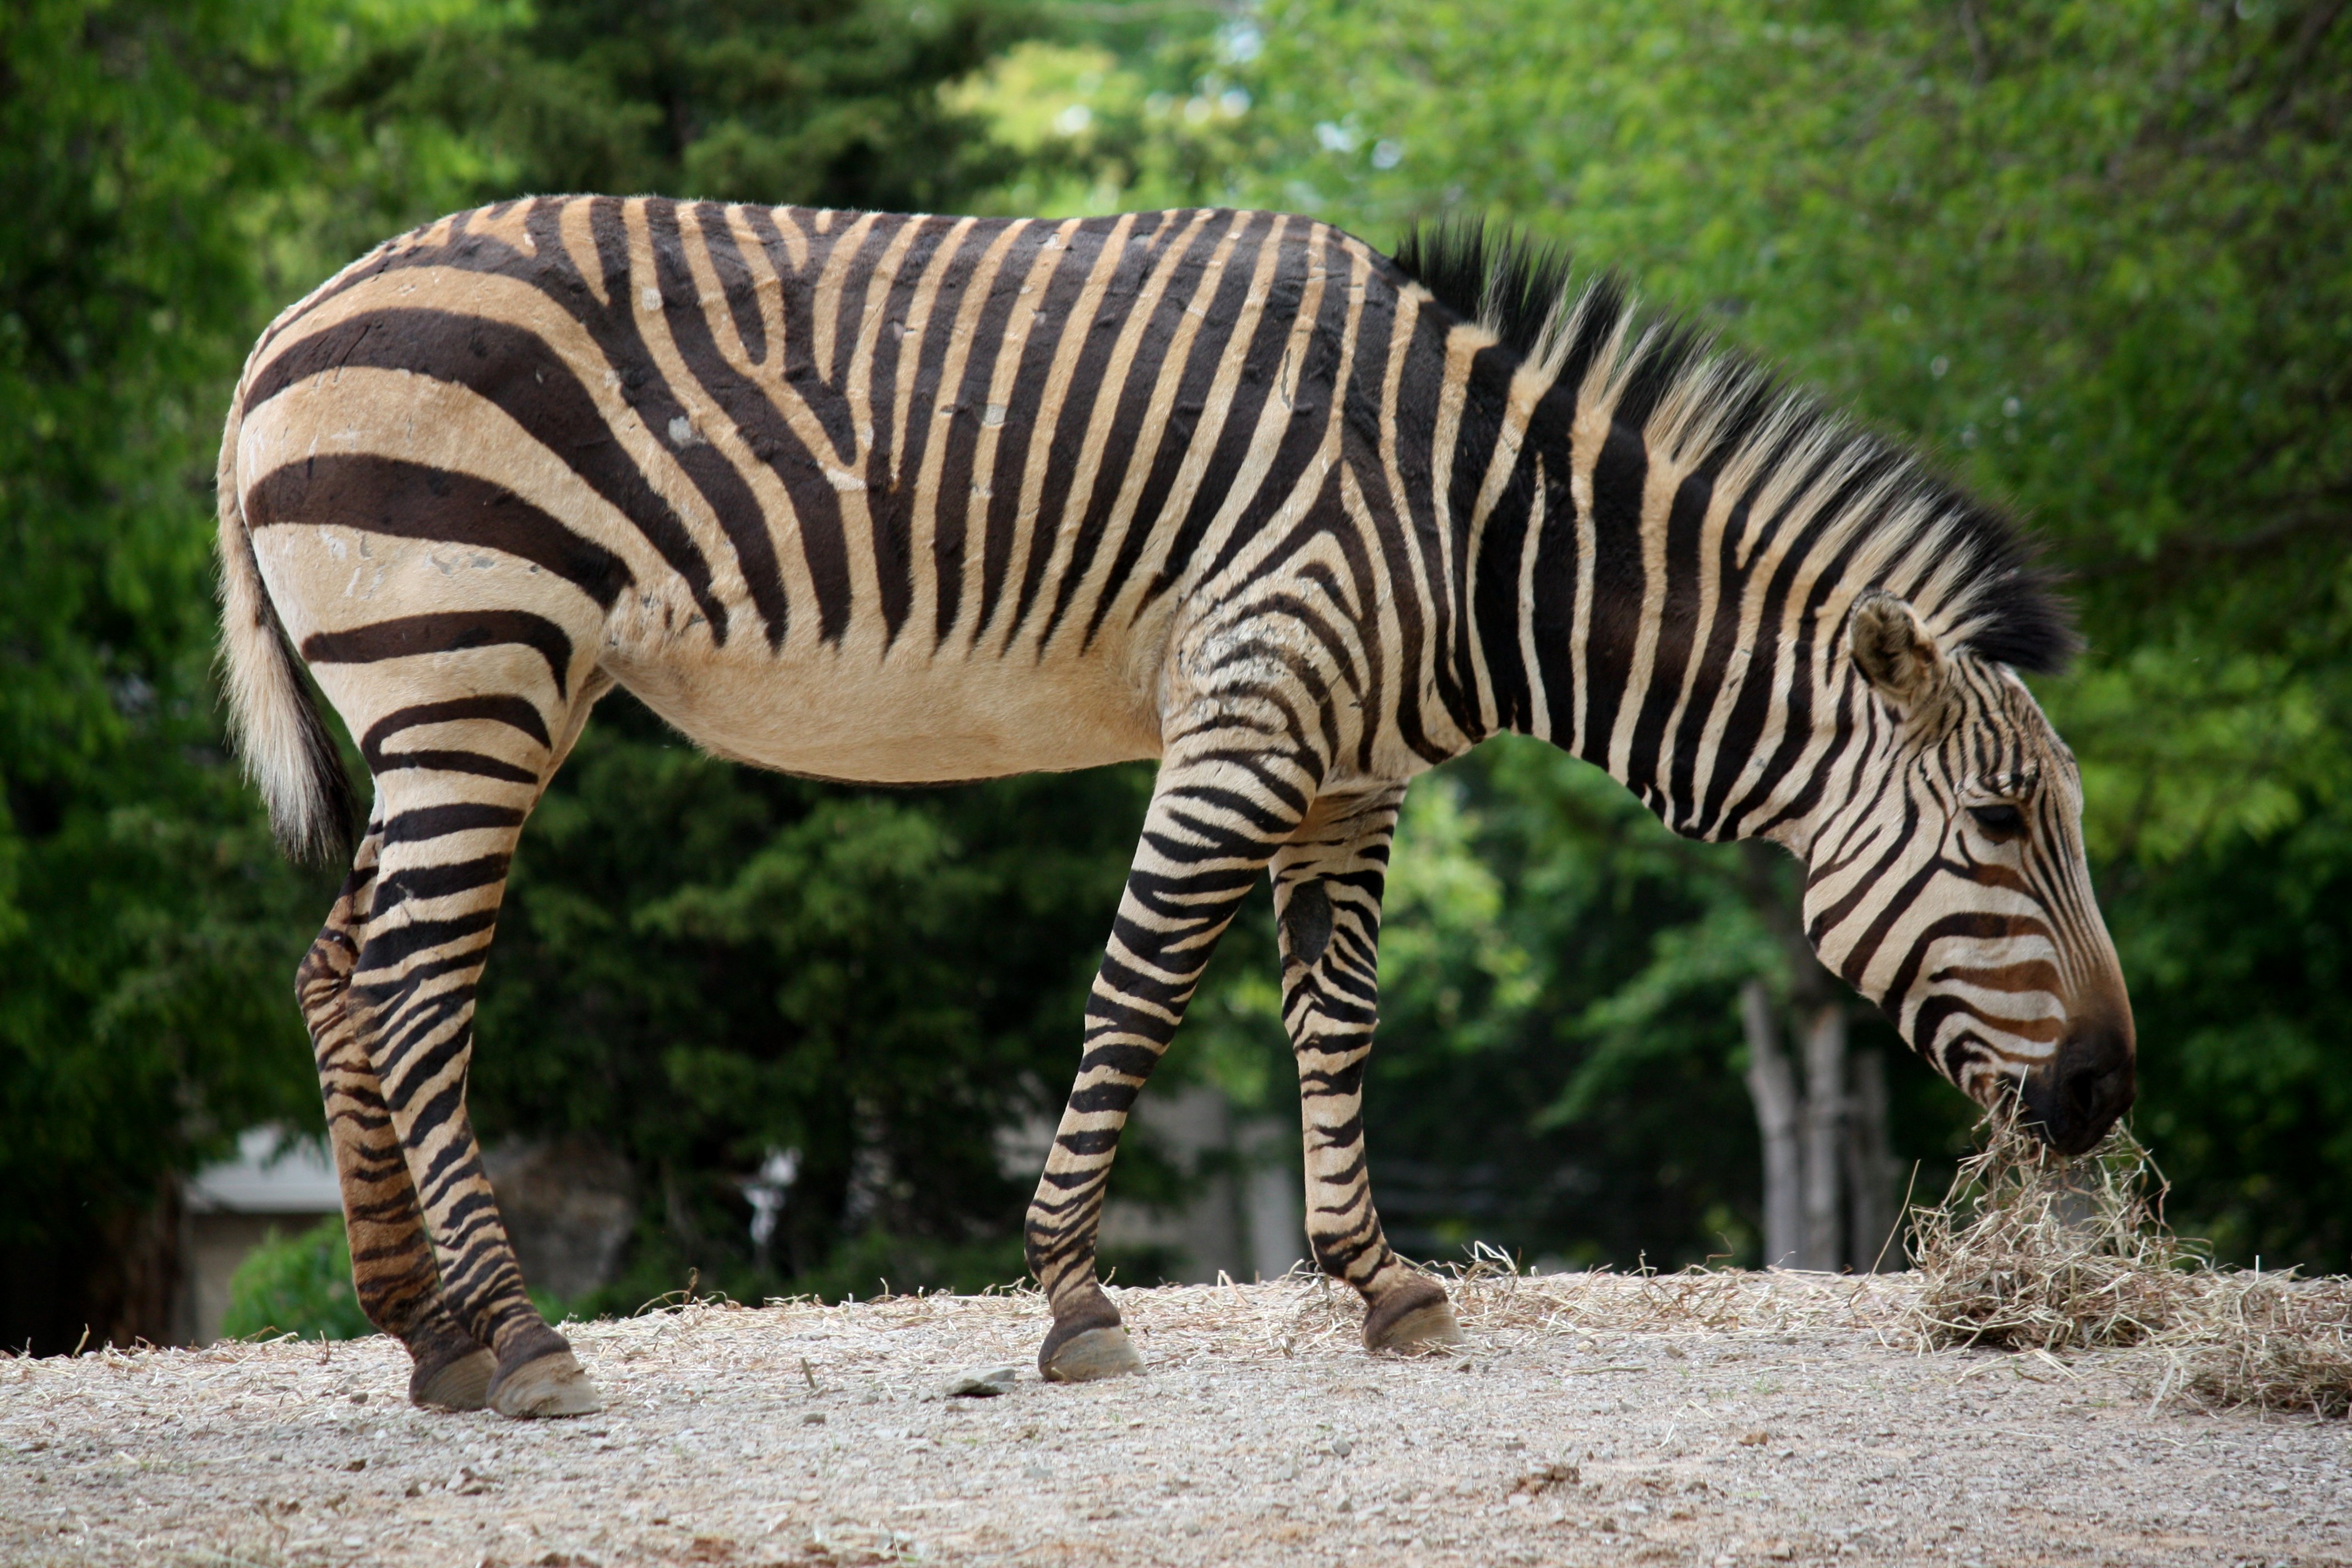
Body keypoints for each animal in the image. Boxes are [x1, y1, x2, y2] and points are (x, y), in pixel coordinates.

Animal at [216, 199, 2135, 1419]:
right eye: (1997, 826)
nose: (2108, 1096)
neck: (1467, 531)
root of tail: (282, 327)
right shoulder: (1244, 716)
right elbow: (1137, 1000)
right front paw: (1073, 1295)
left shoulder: (1349, 776)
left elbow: (1336, 1021)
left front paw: (1378, 1282)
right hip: (469, 667)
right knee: (412, 991)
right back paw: (528, 1340)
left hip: (468, 700)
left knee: (337, 974)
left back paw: (429, 1339)